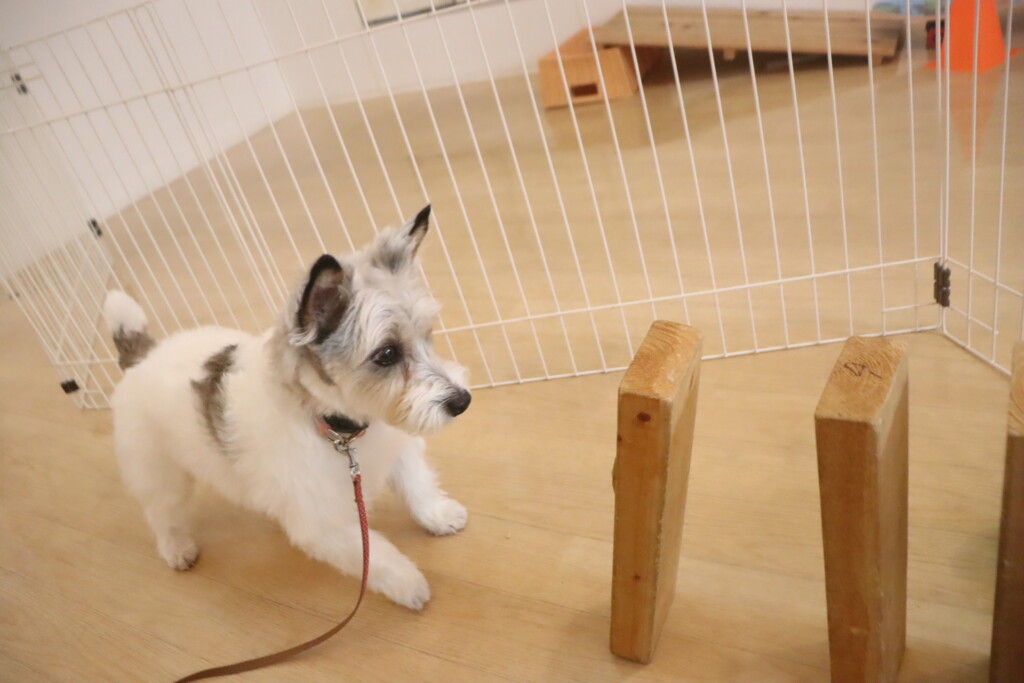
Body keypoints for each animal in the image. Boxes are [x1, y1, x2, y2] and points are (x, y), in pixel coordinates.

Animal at [103, 205, 469, 610]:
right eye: (387, 354)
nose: (462, 401)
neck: (334, 428)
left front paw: (438, 516)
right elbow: (378, 559)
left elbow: (418, 487)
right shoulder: (326, 524)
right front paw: (410, 586)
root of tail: (141, 356)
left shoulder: (397, 449)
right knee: (161, 514)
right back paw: (176, 548)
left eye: (427, 335)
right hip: (158, 472)